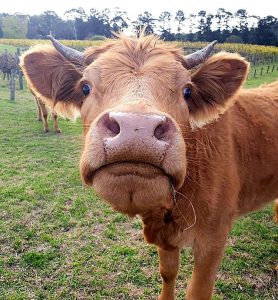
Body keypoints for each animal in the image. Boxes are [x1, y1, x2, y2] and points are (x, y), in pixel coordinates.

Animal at [20, 35, 276, 300]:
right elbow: (168, 273)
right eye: (85, 87)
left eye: (187, 91)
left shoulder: (213, 240)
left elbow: (198, 291)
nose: (137, 127)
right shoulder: (164, 236)